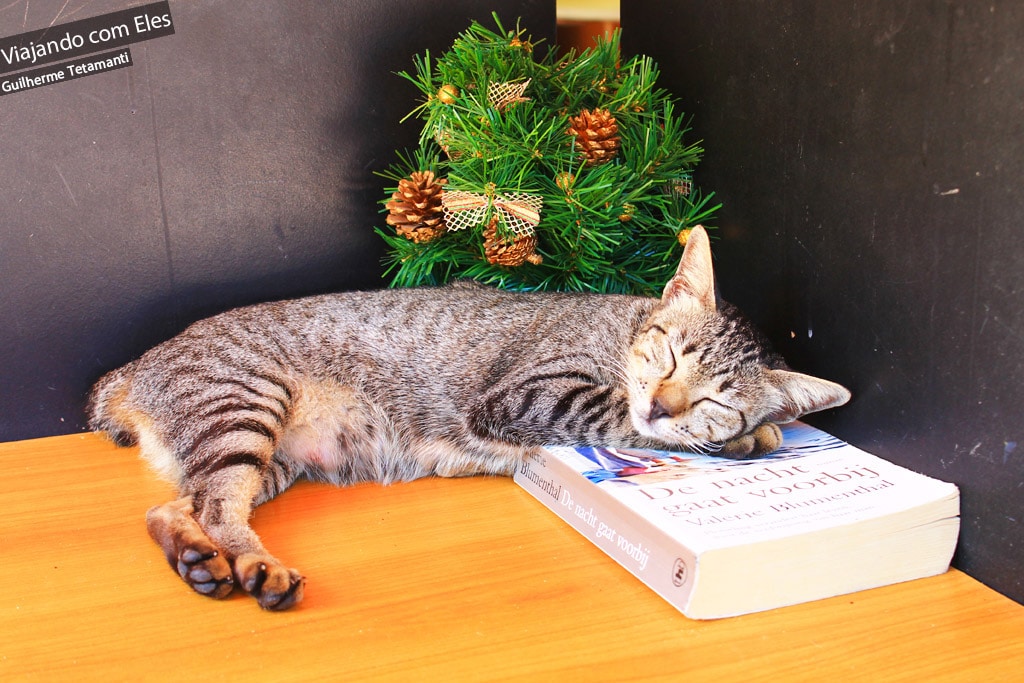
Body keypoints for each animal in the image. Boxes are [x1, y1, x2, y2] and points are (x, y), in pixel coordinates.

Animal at [92, 227, 851, 610]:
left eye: (714, 396)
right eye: (668, 353)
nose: (665, 403)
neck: (620, 331)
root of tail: (136, 366)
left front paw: (743, 429)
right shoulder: (529, 393)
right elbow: (618, 415)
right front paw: (753, 433)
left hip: (267, 455)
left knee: (176, 506)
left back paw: (197, 559)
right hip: (244, 405)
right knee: (218, 508)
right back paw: (253, 564)